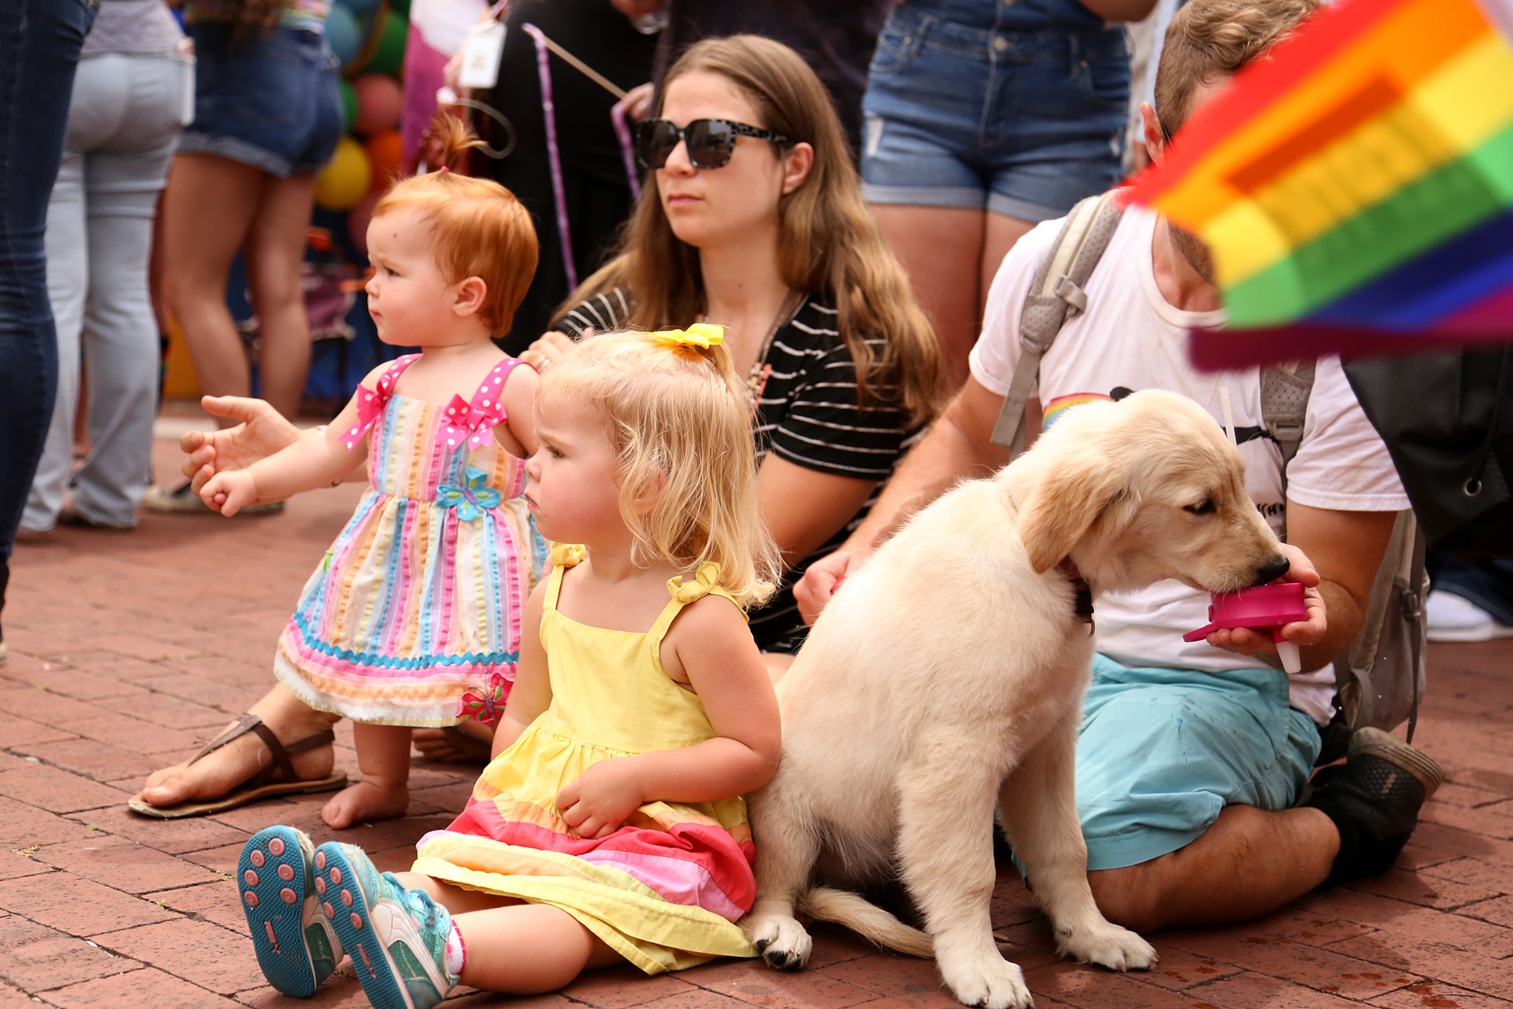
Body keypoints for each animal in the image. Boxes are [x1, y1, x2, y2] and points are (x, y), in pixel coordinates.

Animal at [744, 390, 1289, 1009]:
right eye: (1200, 506)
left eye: (1244, 485)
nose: (1279, 567)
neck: (1040, 563)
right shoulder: (956, 758)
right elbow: (970, 872)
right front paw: (979, 967)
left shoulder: (1047, 746)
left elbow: (1066, 850)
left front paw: (1091, 936)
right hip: (786, 809)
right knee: (775, 888)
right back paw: (781, 932)